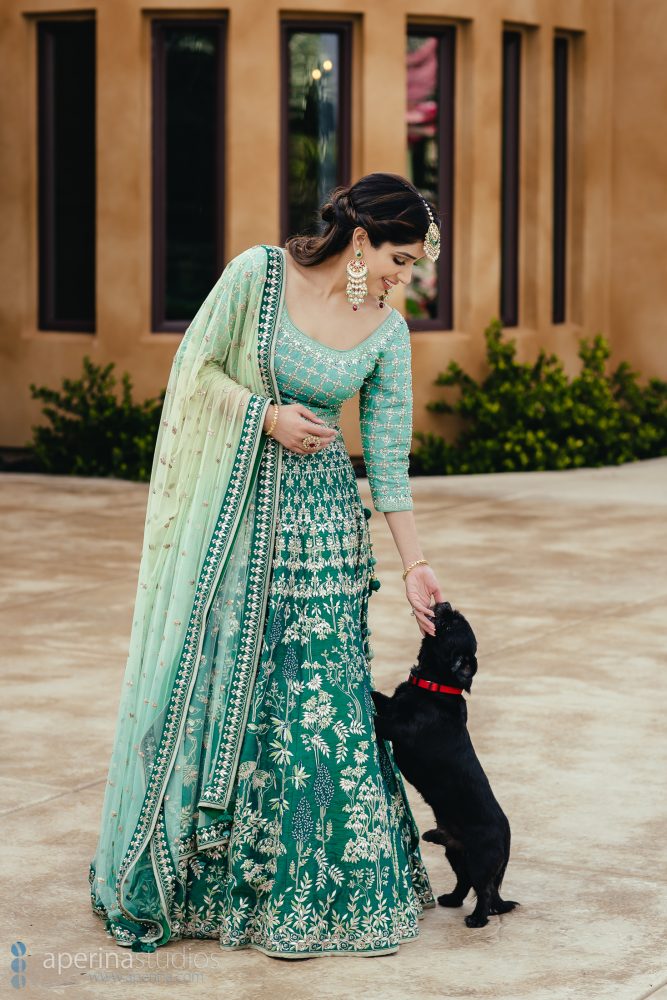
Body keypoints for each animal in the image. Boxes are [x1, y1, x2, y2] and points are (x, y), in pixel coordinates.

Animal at [374, 600, 520, 928]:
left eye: (452, 625)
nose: (444, 603)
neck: (434, 685)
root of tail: (506, 838)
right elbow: (382, 699)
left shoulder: (396, 728)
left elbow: (381, 717)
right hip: (456, 854)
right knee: (464, 883)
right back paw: (451, 899)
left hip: (480, 860)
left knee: (485, 892)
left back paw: (477, 920)